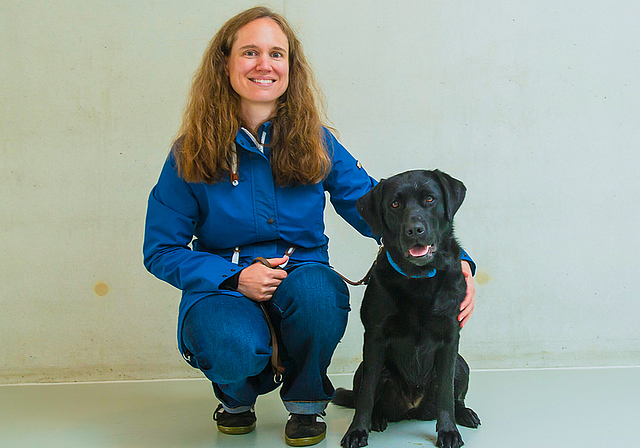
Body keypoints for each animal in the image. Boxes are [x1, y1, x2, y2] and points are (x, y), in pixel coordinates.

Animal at [336, 169, 480, 448]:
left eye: (430, 199)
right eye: (394, 204)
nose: (414, 230)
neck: (419, 279)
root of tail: (413, 409)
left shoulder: (450, 339)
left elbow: (446, 393)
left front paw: (448, 431)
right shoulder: (375, 338)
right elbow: (366, 394)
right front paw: (357, 430)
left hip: (462, 364)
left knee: (454, 396)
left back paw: (464, 413)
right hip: (368, 369)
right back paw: (377, 419)